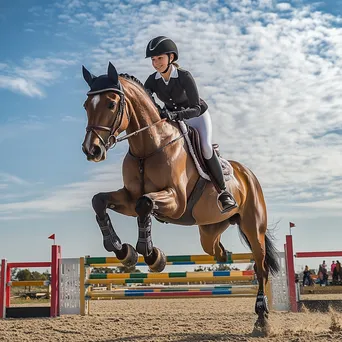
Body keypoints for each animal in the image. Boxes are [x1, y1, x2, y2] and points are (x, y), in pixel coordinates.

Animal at [81, 61, 280, 328]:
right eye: (86, 106)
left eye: (111, 104)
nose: (91, 150)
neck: (148, 147)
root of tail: (247, 174)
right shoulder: (128, 198)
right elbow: (99, 200)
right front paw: (122, 250)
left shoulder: (176, 201)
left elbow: (145, 205)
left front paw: (152, 255)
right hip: (209, 230)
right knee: (216, 250)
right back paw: (226, 256)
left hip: (253, 226)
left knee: (260, 266)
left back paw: (262, 317)